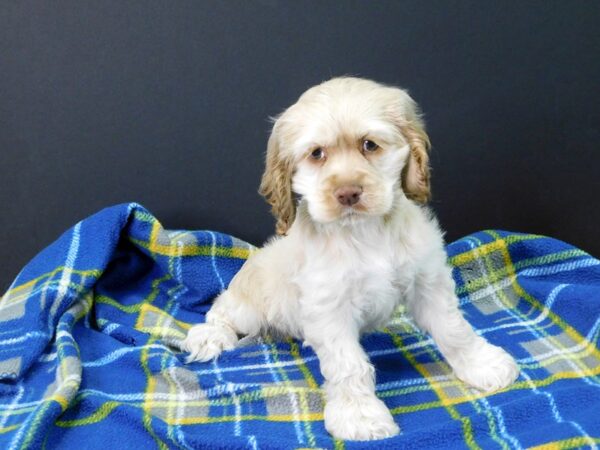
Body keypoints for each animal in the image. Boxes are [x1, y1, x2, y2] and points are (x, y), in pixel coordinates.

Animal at [184, 77, 520, 440]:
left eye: (369, 145)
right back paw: (209, 336)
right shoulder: (329, 309)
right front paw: (360, 416)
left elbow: (454, 329)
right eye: (317, 153)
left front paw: (482, 366)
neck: (364, 231)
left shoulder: (427, 282)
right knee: (221, 311)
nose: (347, 193)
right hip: (247, 305)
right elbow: (348, 365)